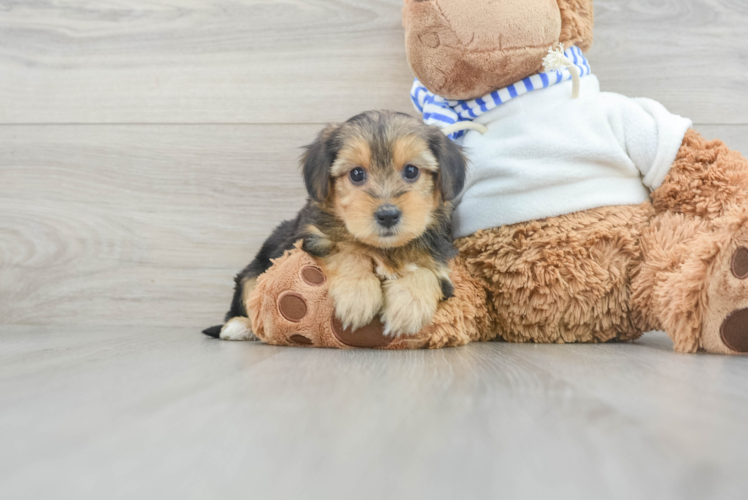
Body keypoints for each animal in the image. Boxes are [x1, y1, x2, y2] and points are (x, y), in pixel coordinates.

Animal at [202, 111, 464, 342]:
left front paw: (409, 306)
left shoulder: (441, 265)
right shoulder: (310, 236)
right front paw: (358, 296)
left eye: (411, 171)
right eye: (356, 174)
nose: (388, 215)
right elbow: (348, 250)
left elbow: (425, 272)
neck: (384, 248)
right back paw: (240, 327)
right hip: (253, 272)